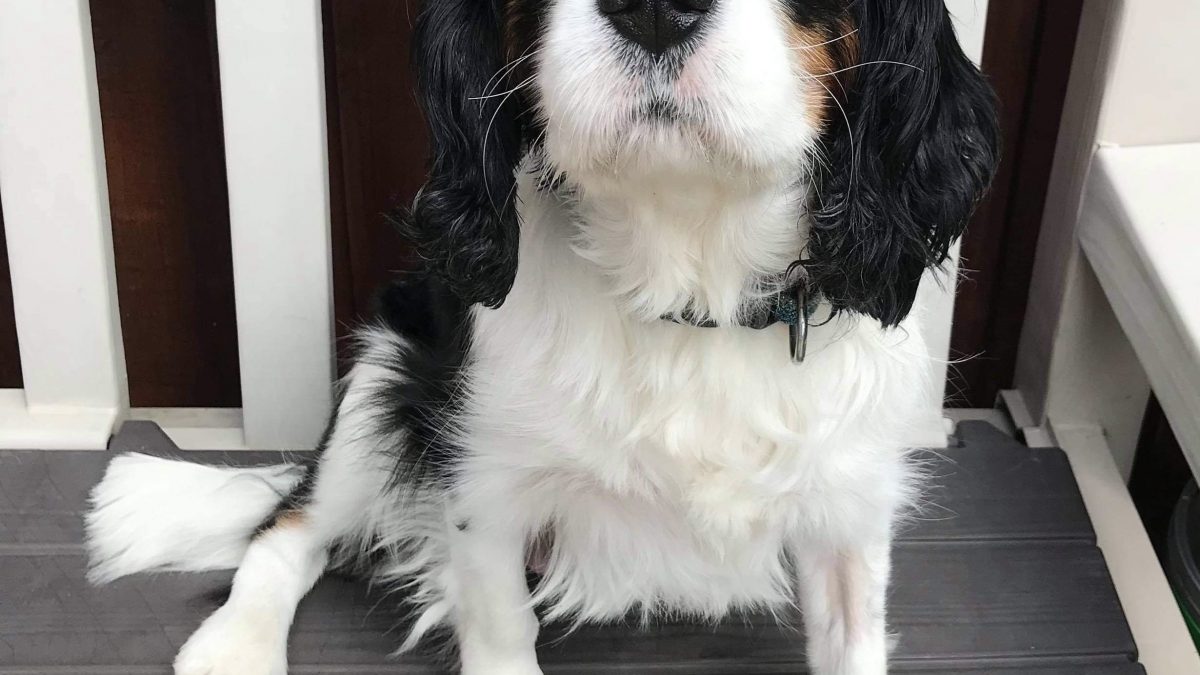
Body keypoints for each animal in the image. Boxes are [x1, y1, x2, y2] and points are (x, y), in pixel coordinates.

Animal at [87, 2, 993, 667]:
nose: (652, 6)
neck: (687, 278)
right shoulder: (483, 486)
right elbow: (500, 628)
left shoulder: (850, 506)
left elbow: (853, 633)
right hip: (386, 375)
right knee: (291, 527)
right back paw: (234, 648)